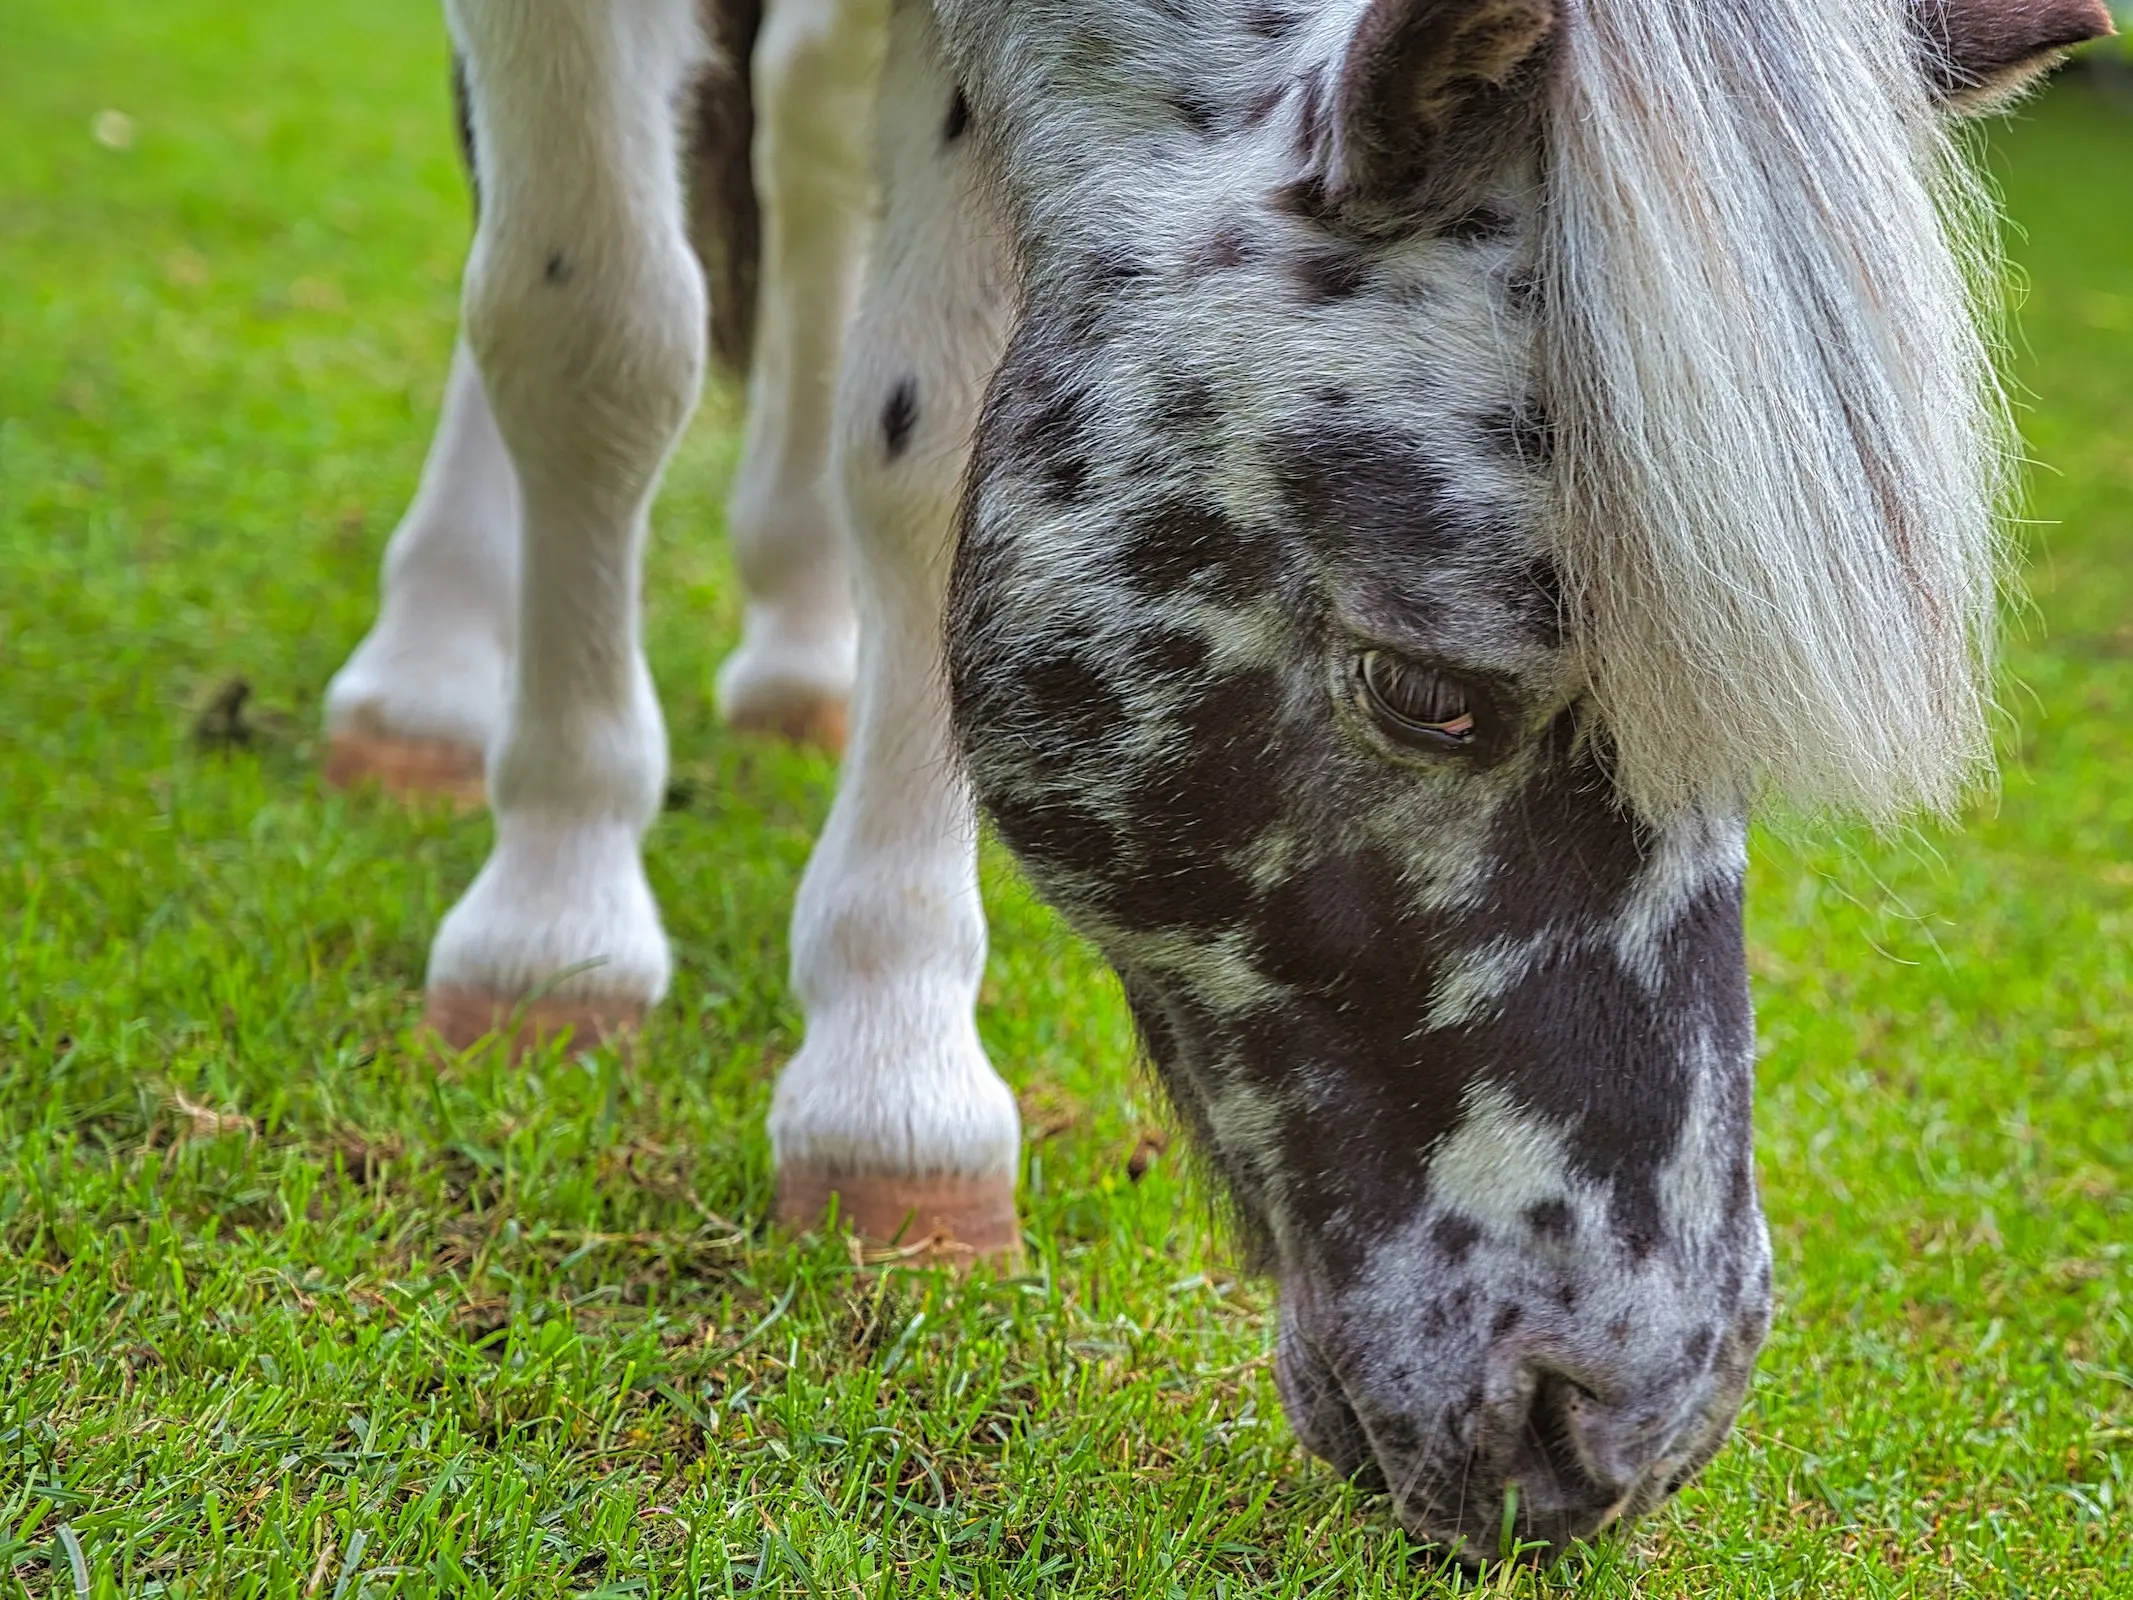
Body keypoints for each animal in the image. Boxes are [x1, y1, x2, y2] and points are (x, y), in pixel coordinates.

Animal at [309, 0, 2107, 1570]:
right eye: (1429, 695)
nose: (1617, 1420)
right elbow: (589, 332)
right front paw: (555, 920)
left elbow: (922, 446)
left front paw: (893, 1066)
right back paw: (433, 671)